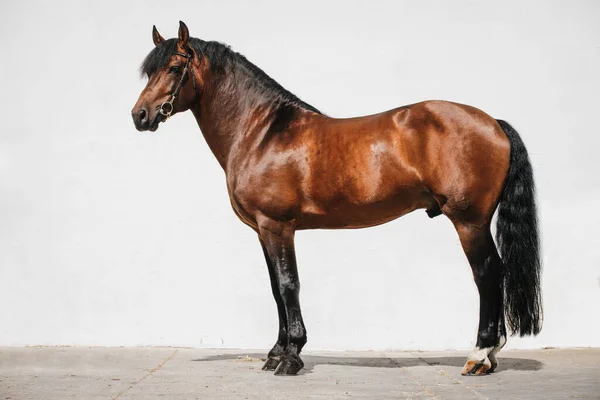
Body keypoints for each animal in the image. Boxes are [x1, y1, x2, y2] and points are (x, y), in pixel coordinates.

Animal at [132, 21, 544, 376]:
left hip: (469, 222)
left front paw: (291, 357)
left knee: (487, 274)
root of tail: (493, 123)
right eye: (149, 72)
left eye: (173, 68)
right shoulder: (263, 231)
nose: (140, 115)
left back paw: (480, 355)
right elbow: (275, 289)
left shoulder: (278, 227)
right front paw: (275, 353)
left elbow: (289, 285)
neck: (262, 132)